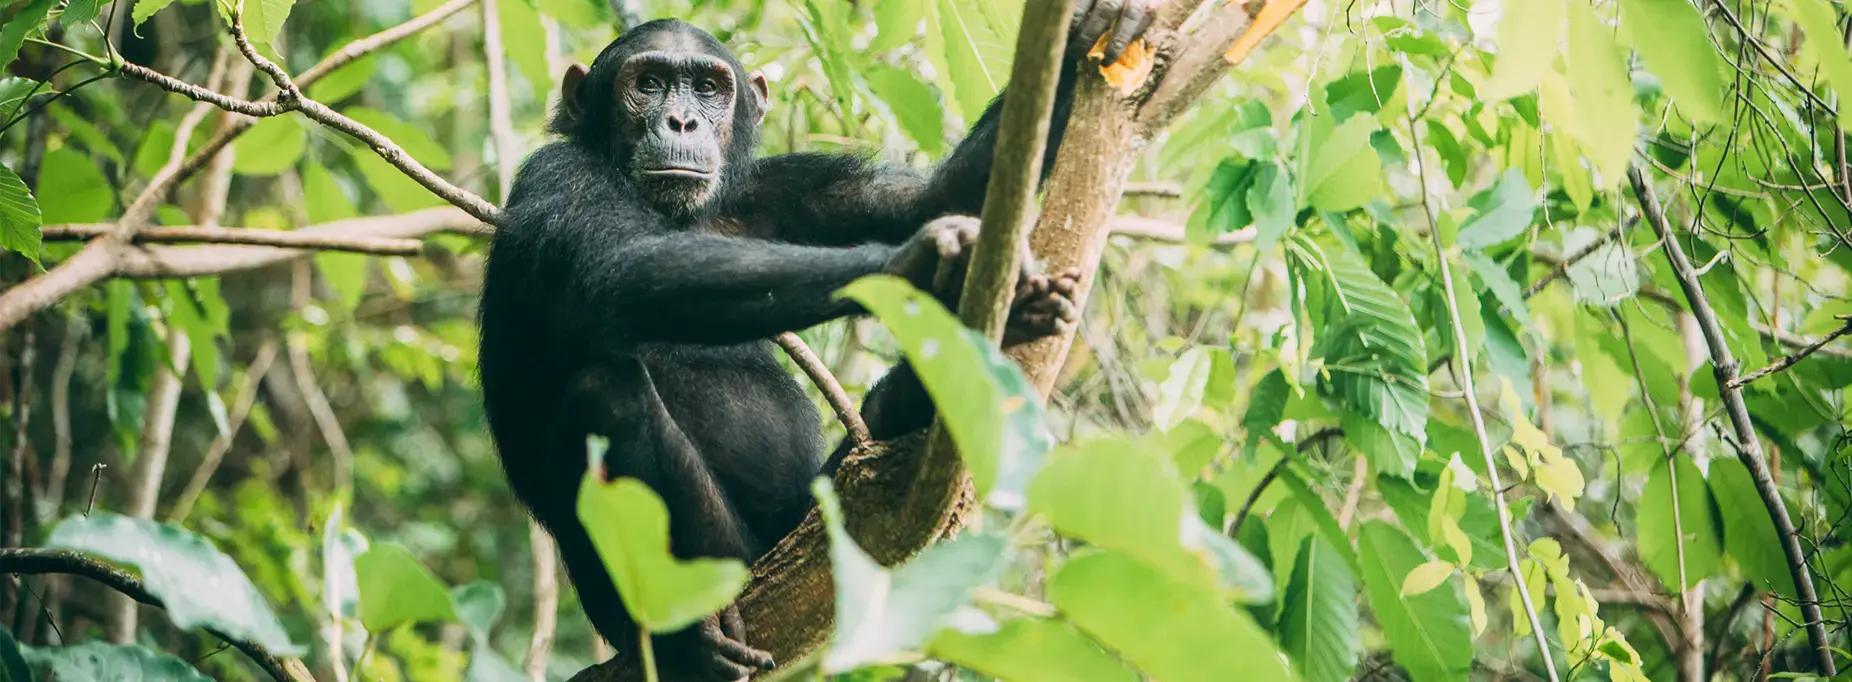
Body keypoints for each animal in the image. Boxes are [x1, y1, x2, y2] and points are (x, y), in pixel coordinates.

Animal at [477, 2, 1140, 678]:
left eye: (708, 87)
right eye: (651, 83)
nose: (681, 119)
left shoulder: (783, 189)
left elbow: (929, 197)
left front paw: (1089, 33)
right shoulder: (558, 180)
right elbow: (628, 268)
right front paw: (920, 264)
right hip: (716, 568)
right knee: (604, 393)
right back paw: (689, 631)